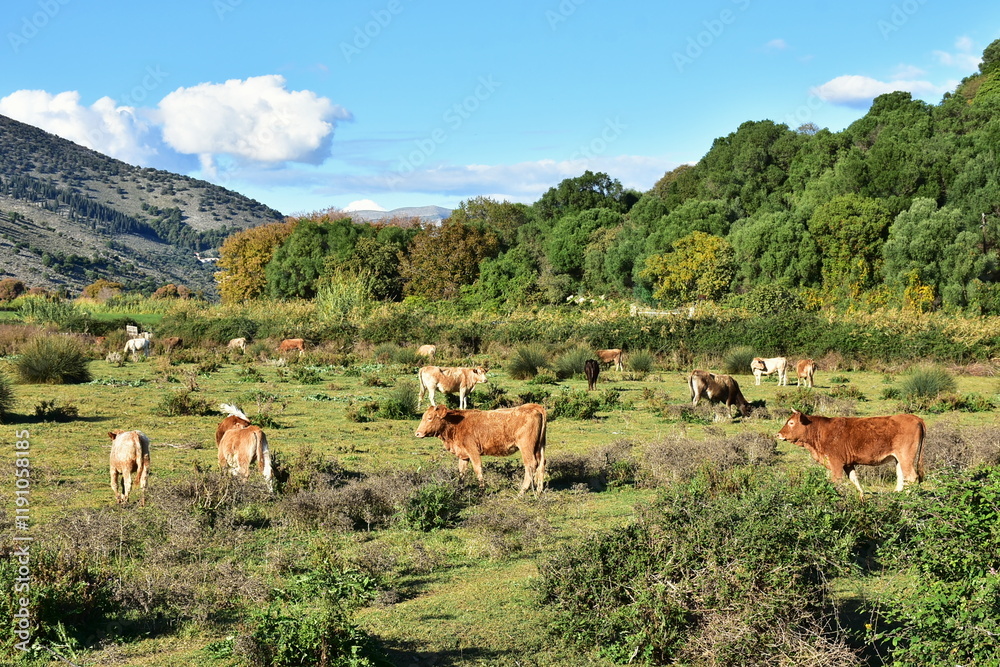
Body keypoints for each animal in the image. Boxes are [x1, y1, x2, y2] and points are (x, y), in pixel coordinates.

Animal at [414, 403, 547, 494]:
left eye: (430, 417)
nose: (417, 433)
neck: (456, 424)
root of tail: (533, 407)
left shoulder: (473, 451)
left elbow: (477, 469)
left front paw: (482, 490)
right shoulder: (463, 455)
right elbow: (461, 472)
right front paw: (459, 489)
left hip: (526, 447)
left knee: (530, 465)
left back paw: (521, 492)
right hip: (539, 447)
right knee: (541, 464)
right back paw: (539, 490)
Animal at [776, 410, 925, 498]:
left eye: (791, 422)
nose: (778, 434)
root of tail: (916, 418)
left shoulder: (836, 463)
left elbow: (836, 482)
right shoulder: (848, 464)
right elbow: (855, 480)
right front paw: (862, 497)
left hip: (906, 456)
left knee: (911, 477)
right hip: (898, 458)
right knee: (902, 476)